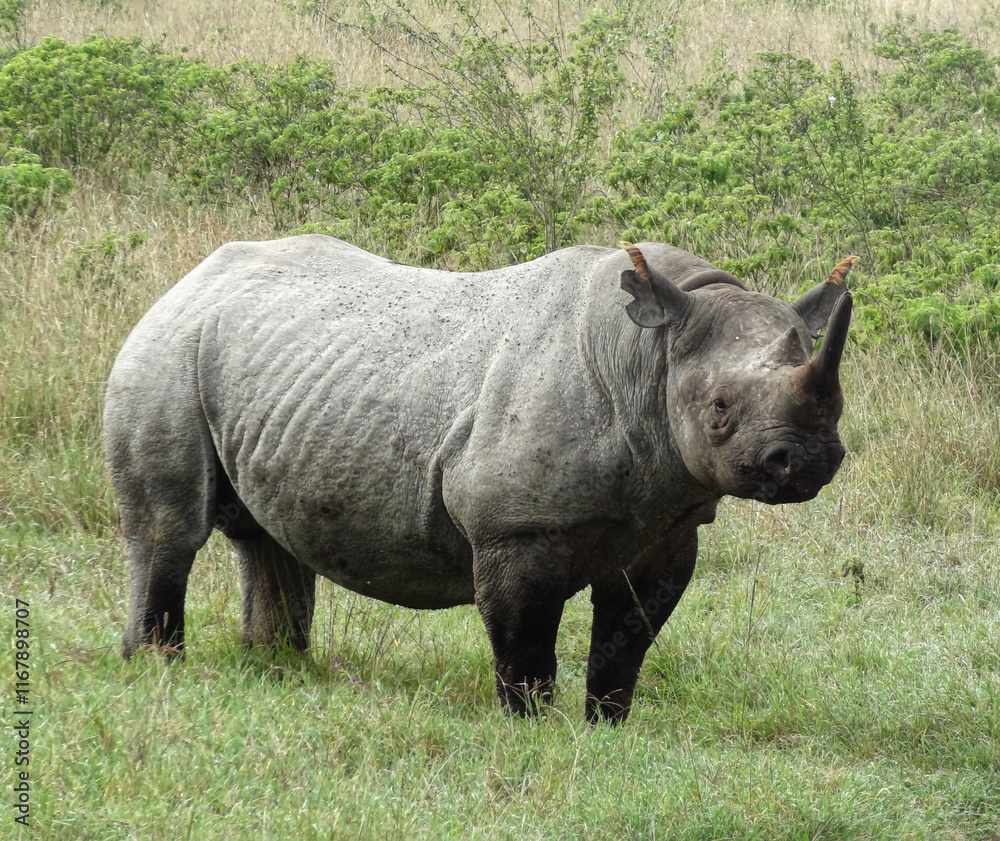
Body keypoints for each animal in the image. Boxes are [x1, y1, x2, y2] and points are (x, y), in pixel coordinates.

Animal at [104, 235, 854, 723]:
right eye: (720, 408)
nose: (806, 461)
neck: (651, 354)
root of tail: (188, 279)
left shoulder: (670, 521)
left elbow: (627, 639)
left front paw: (607, 726)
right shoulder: (515, 527)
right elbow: (524, 640)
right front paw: (529, 726)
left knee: (267, 540)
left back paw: (275, 670)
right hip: (166, 350)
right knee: (170, 529)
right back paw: (158, 668)